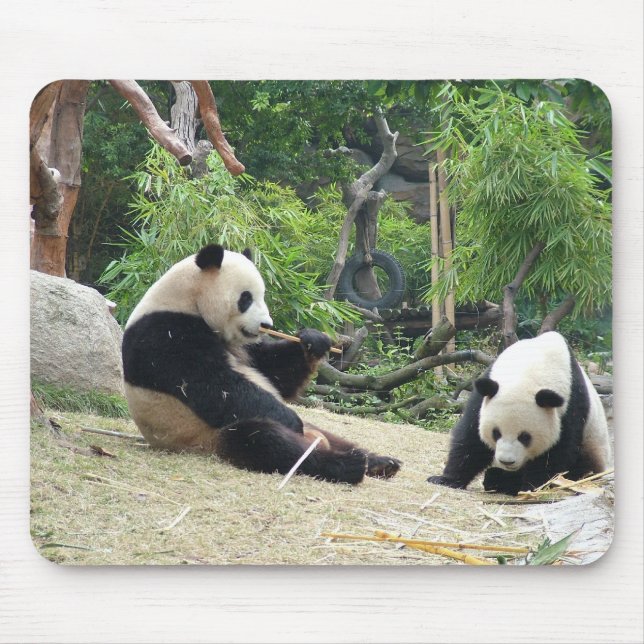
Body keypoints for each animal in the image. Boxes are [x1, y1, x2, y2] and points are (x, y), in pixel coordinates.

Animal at [121, 244, 401, 485]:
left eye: (262, 295)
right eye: (246, 298)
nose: (266, 324)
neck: (187, 298)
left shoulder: (245, 346)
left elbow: (275, 372)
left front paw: (315, 341)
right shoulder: (165, 336)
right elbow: (216, 386)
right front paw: (290, 420)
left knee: (331, 436)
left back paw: (380, 462)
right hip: (207, 437)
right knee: (265, 440)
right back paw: (346, 465)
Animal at [427, 331, 611, 495]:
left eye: (525, 437)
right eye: (495, 433)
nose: (506, 461)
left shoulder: (570, 407)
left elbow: (556, 452)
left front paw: (529, 487)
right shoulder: (485, 392)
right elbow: (471, 438)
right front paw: (446, 479)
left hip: (593, 448)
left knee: (581, 469)